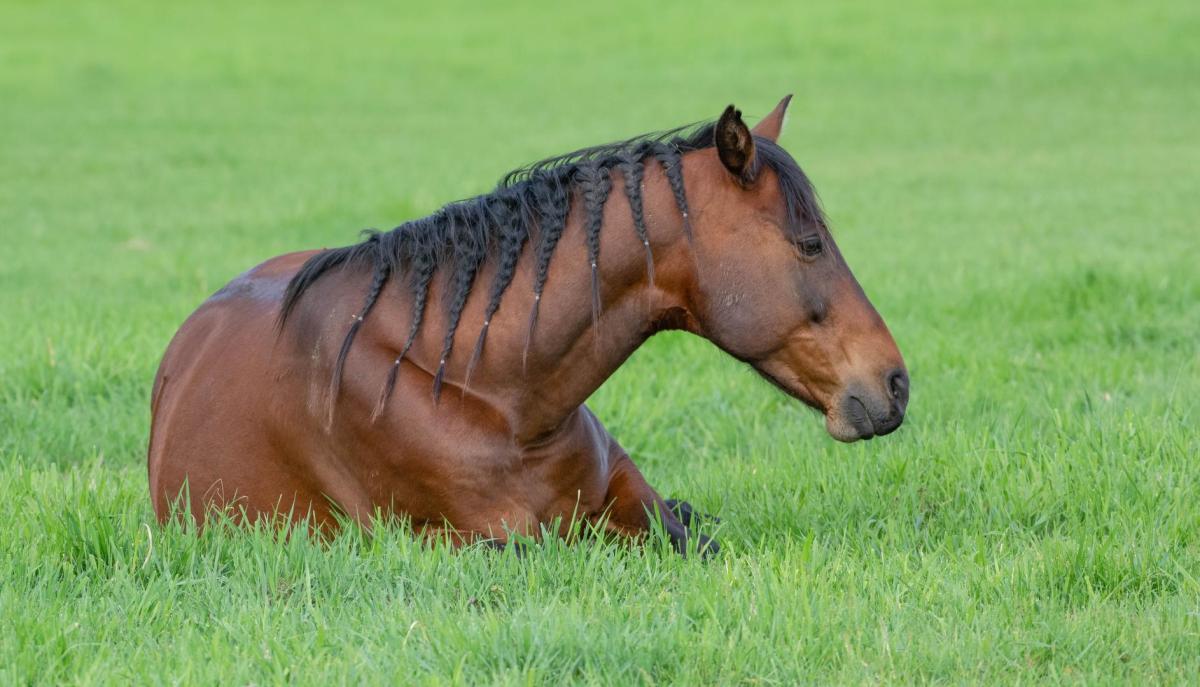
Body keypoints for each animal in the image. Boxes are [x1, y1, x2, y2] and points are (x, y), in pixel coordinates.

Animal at [145, 96, 902, 554]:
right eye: (810, 243)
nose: (895, 383)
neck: (489, 394)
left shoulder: (643, 510)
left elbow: (690, 535)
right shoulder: (468, 541)